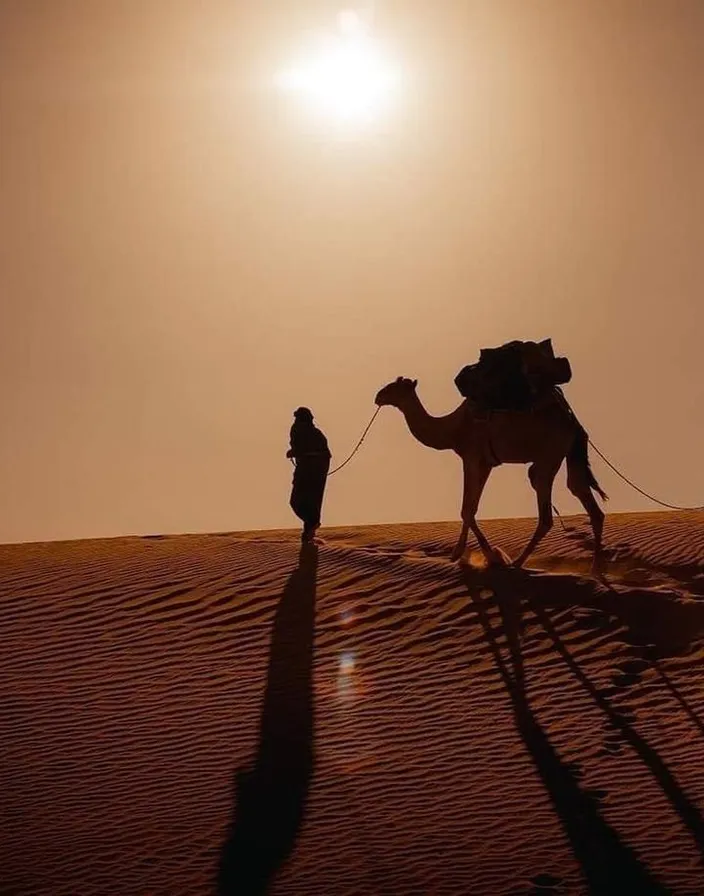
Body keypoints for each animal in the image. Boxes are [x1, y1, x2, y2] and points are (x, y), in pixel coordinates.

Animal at [372, 376, 608, 572]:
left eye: (395, 386)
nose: (378, 396)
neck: (453, 429)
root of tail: (573, 423)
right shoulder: (486, 463)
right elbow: (472, 508)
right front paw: (472, 555)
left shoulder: (470, 456)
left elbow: (466, 509)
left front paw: (484, 556)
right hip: (568, 453)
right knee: (579, 489)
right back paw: (595, 569)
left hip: (548, 455)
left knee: (545, 506)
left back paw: (517, 562)